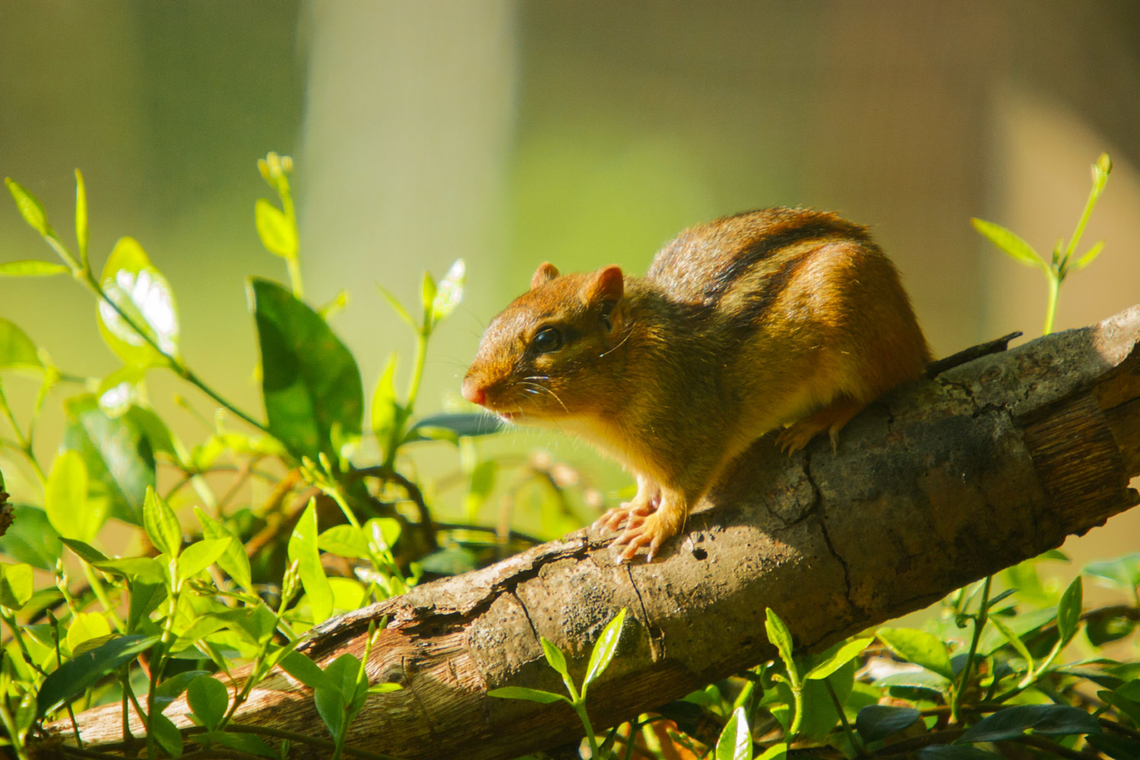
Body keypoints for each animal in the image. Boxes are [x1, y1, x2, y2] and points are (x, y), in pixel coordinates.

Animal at [462, 208, 932, 562]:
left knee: (882, 384)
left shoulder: (700, 432)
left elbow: (682, 491)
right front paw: (632, 509)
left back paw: (821, 419)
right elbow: (646, 483)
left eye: (547, 339)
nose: (471, 391)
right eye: (494, 322)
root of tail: (914, 338)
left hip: (850, 307)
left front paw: (656, 525)